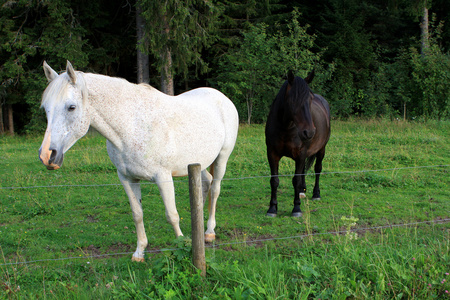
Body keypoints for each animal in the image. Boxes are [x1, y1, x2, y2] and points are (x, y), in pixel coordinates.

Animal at [39, 60, 239, 260]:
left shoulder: (163, 177)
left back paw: (209, 232)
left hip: (222, 158)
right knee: (206, 183)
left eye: (71, 107)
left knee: (215, 189)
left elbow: (171, 215)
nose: (47, 155)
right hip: (199, 162)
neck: (131, 125)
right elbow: (137, 213)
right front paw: (139, 252)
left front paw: (183, 246)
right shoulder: (127, 178)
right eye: (45, 109)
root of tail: (221, 97)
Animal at [264, 70, 330, 216]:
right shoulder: (272, 154)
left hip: (321, 149)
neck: (286, 128)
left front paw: (296, 208)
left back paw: (316, 194)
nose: (309, 132)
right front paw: (272, 208)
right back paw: (302, 191)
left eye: (310, 99)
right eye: (293, 100)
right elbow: (274, 180)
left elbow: (296, 180)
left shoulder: (300, 154)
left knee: (317, 169)